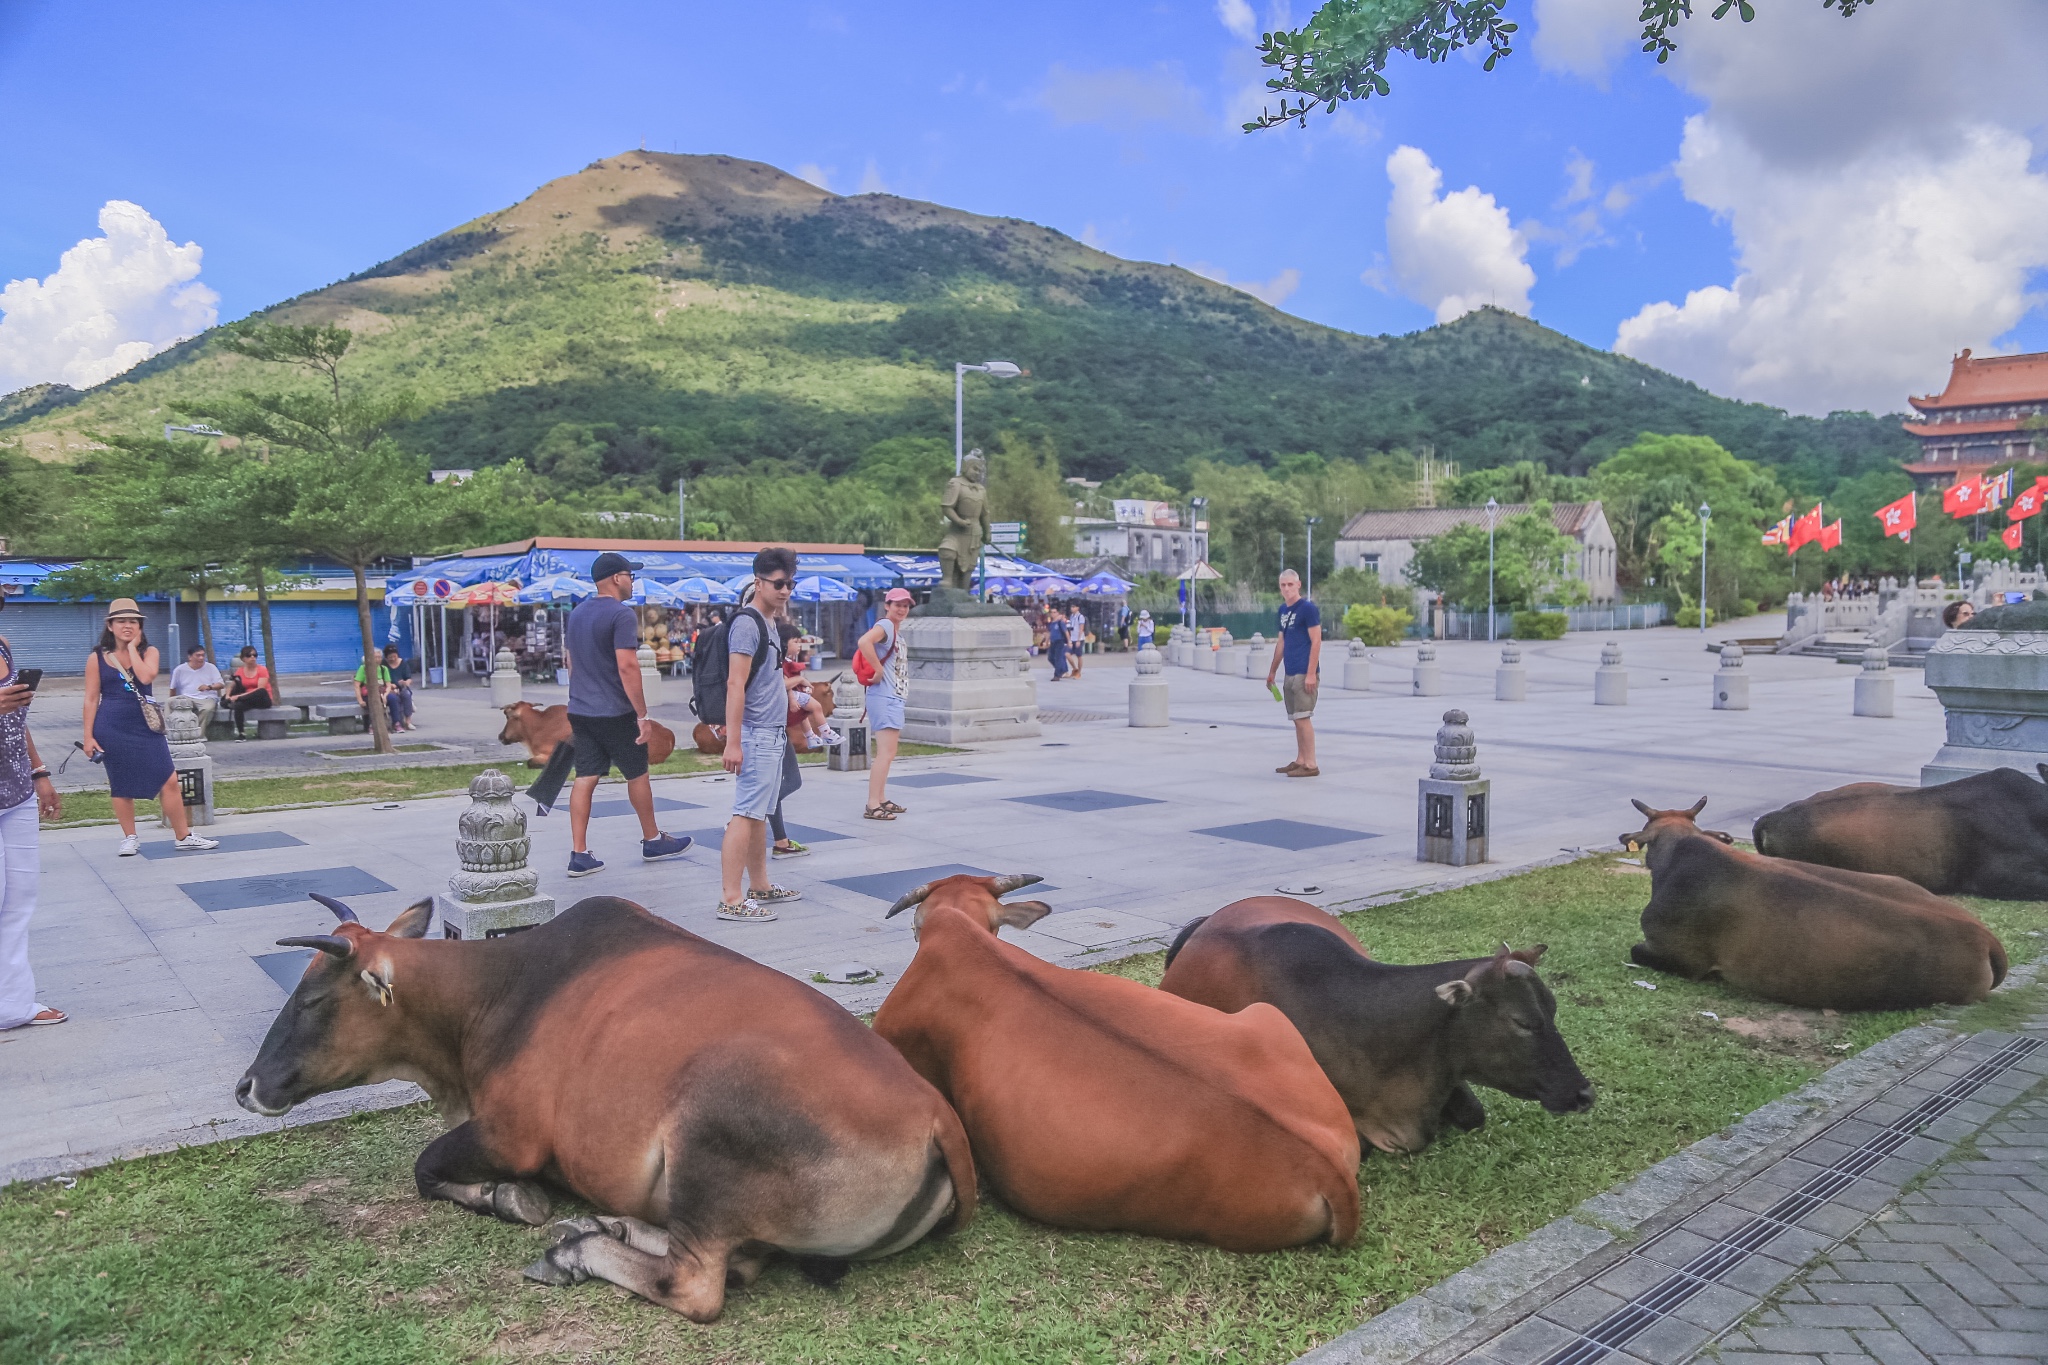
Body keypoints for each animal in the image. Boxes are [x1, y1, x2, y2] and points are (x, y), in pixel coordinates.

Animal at [237, 892, 974, 1317]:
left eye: (314, 999)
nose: (247, 1086)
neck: (497, 992)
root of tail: (936, 1115)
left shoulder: (511, 1135)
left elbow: (426, 1167)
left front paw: (510, 1199)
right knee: (736, 1257)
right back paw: (607, 1224)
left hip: (706, 1140)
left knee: (701, 1282)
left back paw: (578, 1252)